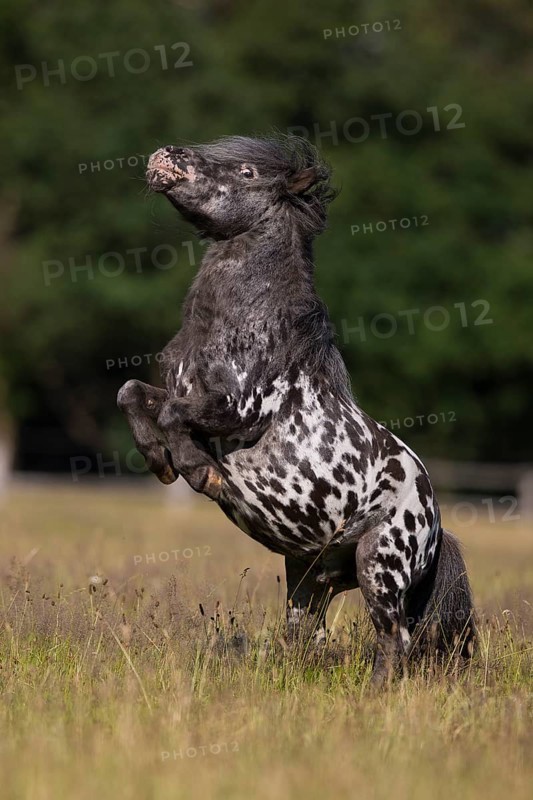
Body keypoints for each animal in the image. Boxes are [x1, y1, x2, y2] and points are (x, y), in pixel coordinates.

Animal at [117, 135, 476, 683]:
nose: (167, 155)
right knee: (309, 637)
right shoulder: (178, 390)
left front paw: (199, 472)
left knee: (395, 640)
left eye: (246, 171)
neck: (243, 324)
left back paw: (376, 693)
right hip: (310, 579)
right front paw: (159, 460)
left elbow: (175, 417)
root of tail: (435, 524)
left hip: (378, 565)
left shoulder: (236, 409)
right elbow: (133, 392)